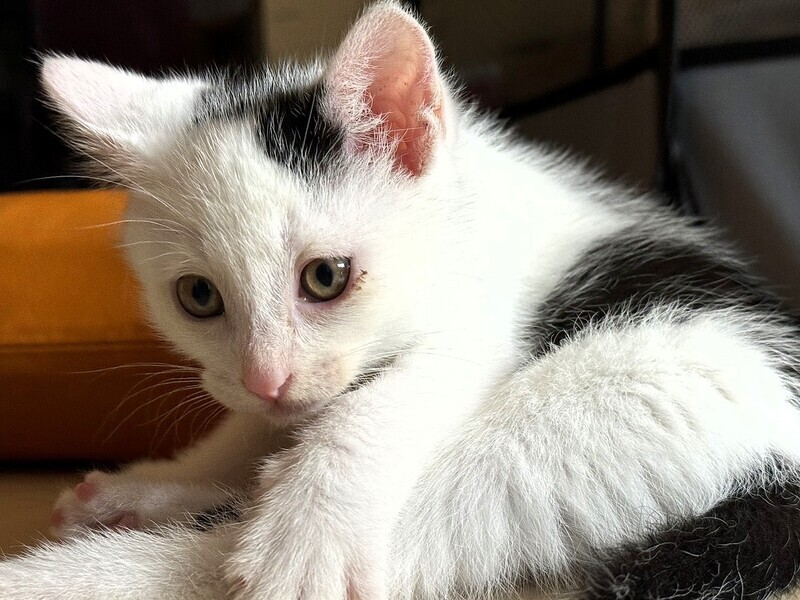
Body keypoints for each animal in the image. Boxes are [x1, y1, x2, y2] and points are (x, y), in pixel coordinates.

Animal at [3, 2, 800, 599]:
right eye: (197, 296)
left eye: (326, 277)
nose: (268, 378)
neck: (458, 217)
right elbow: (248, 431)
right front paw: (167, 474)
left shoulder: (480, 317)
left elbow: (377, 405)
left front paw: (305, 531)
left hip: (632, 399)